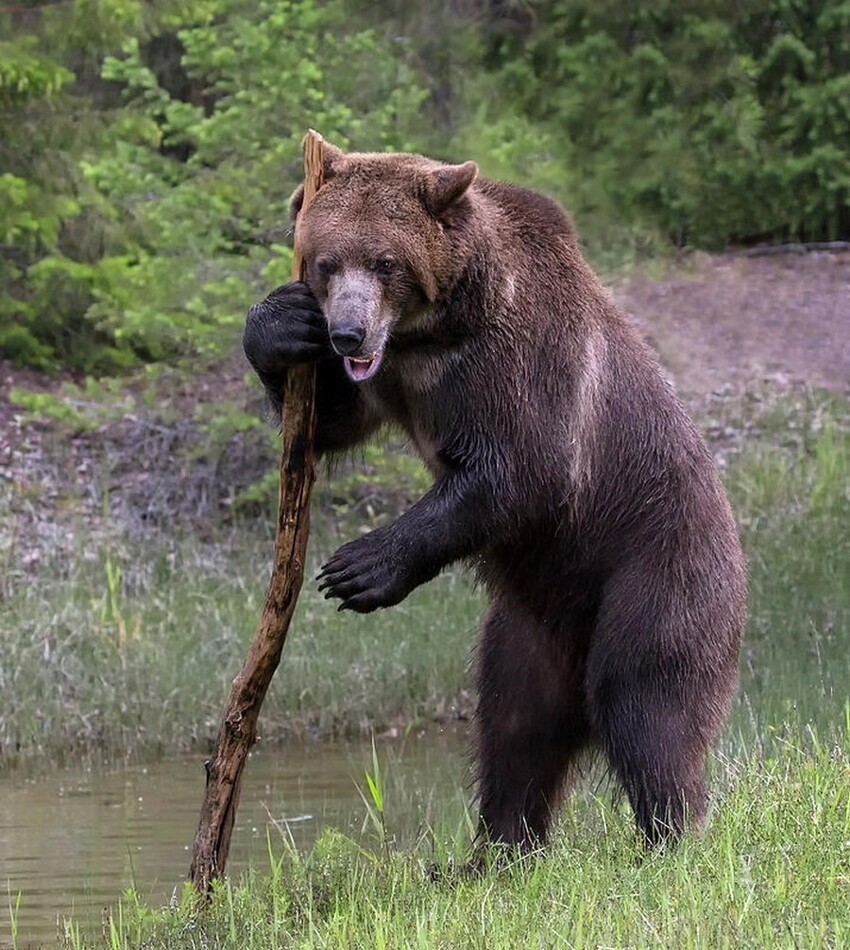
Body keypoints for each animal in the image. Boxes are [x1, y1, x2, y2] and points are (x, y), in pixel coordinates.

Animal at [242, 143, 744, 856]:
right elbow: (326, 422)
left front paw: (357, 569)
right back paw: (493, 852)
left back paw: (668, 837)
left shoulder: (518, 362)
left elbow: (523, 473)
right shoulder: (391, 379)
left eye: (386, 261)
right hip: (525, 628)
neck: (431, 333)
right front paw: (279, 324)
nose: (347, 333)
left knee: (646, 702)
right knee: (513, 727)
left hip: (659, 570)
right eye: (326, 262)